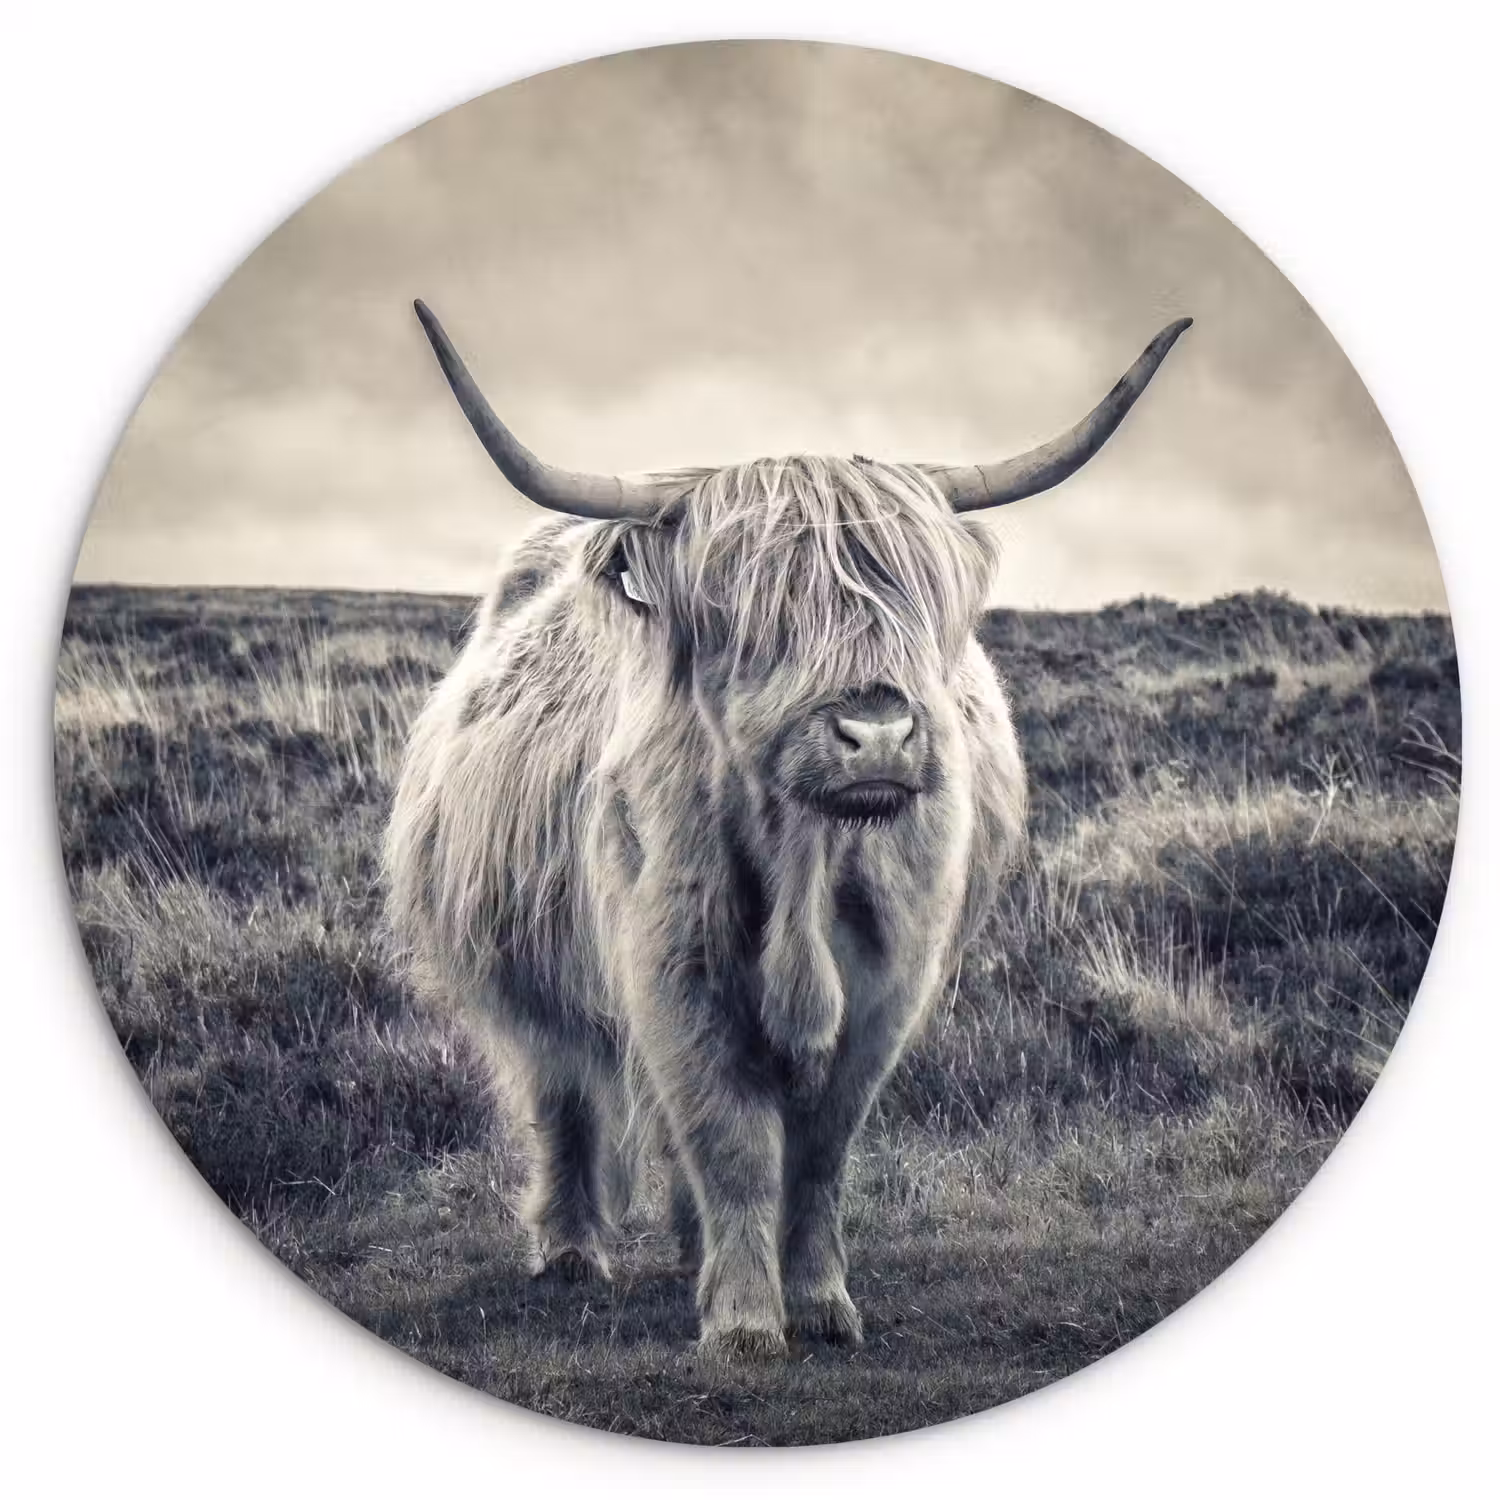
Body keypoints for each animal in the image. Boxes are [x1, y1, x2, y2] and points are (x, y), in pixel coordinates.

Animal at [383, 301, 1191, 1356]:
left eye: (915, 600)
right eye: (752, 613)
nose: (877, 732)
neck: (806, 861)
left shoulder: (888, 984)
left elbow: (817, 1151)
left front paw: (817, 1301)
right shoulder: (673, 969)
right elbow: (728, 1139)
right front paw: (743, 1321)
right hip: (524, 969)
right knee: (561, 1093)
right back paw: (571, 1250)